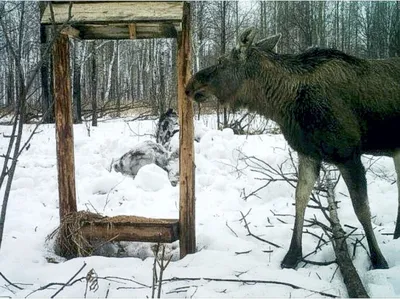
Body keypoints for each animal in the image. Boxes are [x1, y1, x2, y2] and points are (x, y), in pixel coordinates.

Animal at [186, 28, 400, 270]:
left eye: (221, 61)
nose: (190, 86)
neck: (283, 106)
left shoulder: (348, 155)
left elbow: (362, 209)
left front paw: (378, 259)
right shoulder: (308, 153)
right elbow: (300, 198)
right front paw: (292, 255)